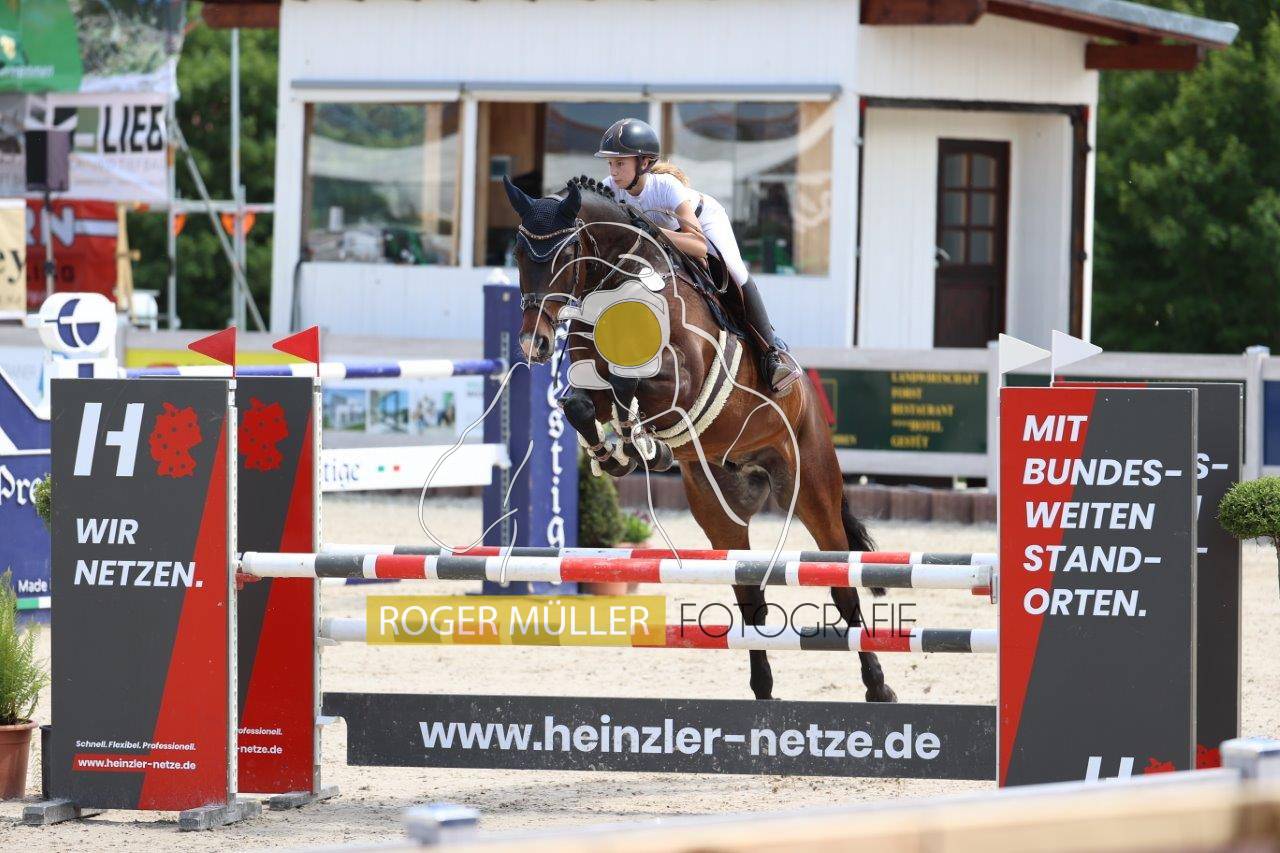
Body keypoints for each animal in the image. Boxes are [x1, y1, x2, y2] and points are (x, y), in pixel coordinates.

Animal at [502, 175, 896, 703]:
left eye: (565, 254)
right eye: (519, 253)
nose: (535, 345)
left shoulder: (684, 380)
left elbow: (633, 384)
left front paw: (645, 444)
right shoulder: (592, 383)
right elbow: (581, 403)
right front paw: (617, 454)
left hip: (811, 486)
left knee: (842, 585)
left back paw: (878, 687)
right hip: (718, 509)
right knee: (749, 598)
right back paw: (763, 690)